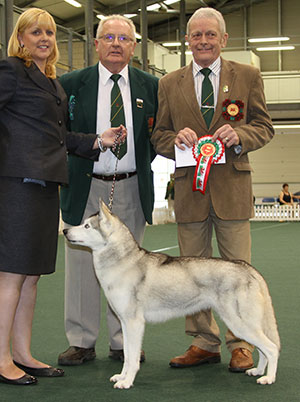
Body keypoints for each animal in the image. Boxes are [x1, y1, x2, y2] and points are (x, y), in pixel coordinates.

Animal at [64, 199, 280, 388]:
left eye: (86, 226)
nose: (65, 231)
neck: (122, 262)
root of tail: (248, 267)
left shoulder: (135, 323)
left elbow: (133, 358)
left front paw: (127, 382)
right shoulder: (125, 323)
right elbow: (126, 355)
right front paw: (122, 376)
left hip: (240, 325)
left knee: (271, 348)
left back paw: (268, 378)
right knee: (264, 350)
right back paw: (258, 372)